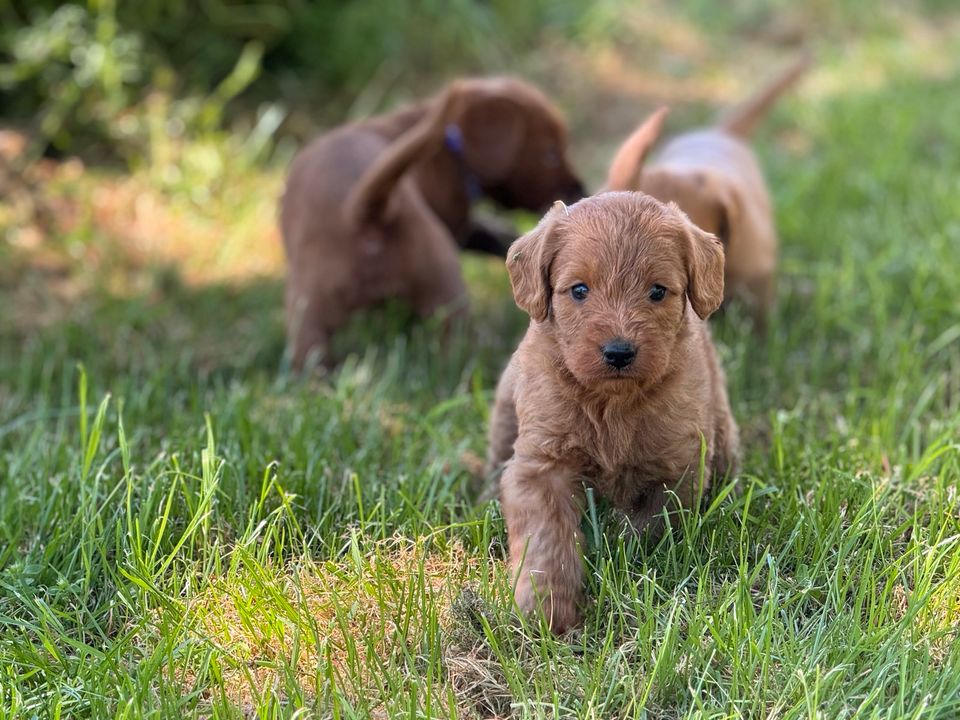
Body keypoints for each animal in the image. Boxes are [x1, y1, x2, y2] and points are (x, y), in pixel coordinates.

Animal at [280, 78, 584, 368]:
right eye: (550, 154)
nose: (579, 188)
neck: (447, 152)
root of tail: (365, 212)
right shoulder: (457, 223)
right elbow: (488, 234)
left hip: (311, 309)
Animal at [484, 193, 740, 636]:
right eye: (579, 290)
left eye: (657, 291)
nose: (619, 352)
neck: (611, 404)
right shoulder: (541, 465)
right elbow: (547, 538)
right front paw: (546, 610)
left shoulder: (678, 467)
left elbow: (646, 526)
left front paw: (623, 554)